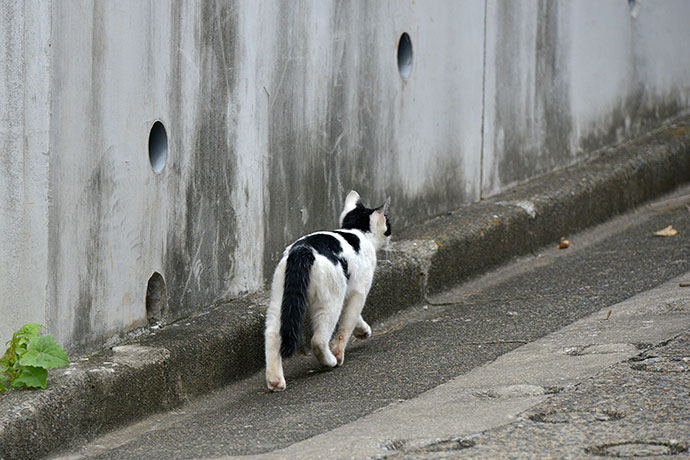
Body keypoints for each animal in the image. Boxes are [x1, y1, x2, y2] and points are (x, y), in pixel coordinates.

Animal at [264, 190, 390, 392]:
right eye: (388, 224)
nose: (390, 236)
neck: (357, 230)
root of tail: (303, 250)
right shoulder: (358, 290)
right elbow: (348, 321)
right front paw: (340, 351)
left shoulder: (349, 289)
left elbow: (354, 317)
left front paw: (362, 330)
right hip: (330, 300)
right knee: (318, 340)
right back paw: (330, 361)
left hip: (280, 299)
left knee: (272, 334)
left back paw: (275, 381)